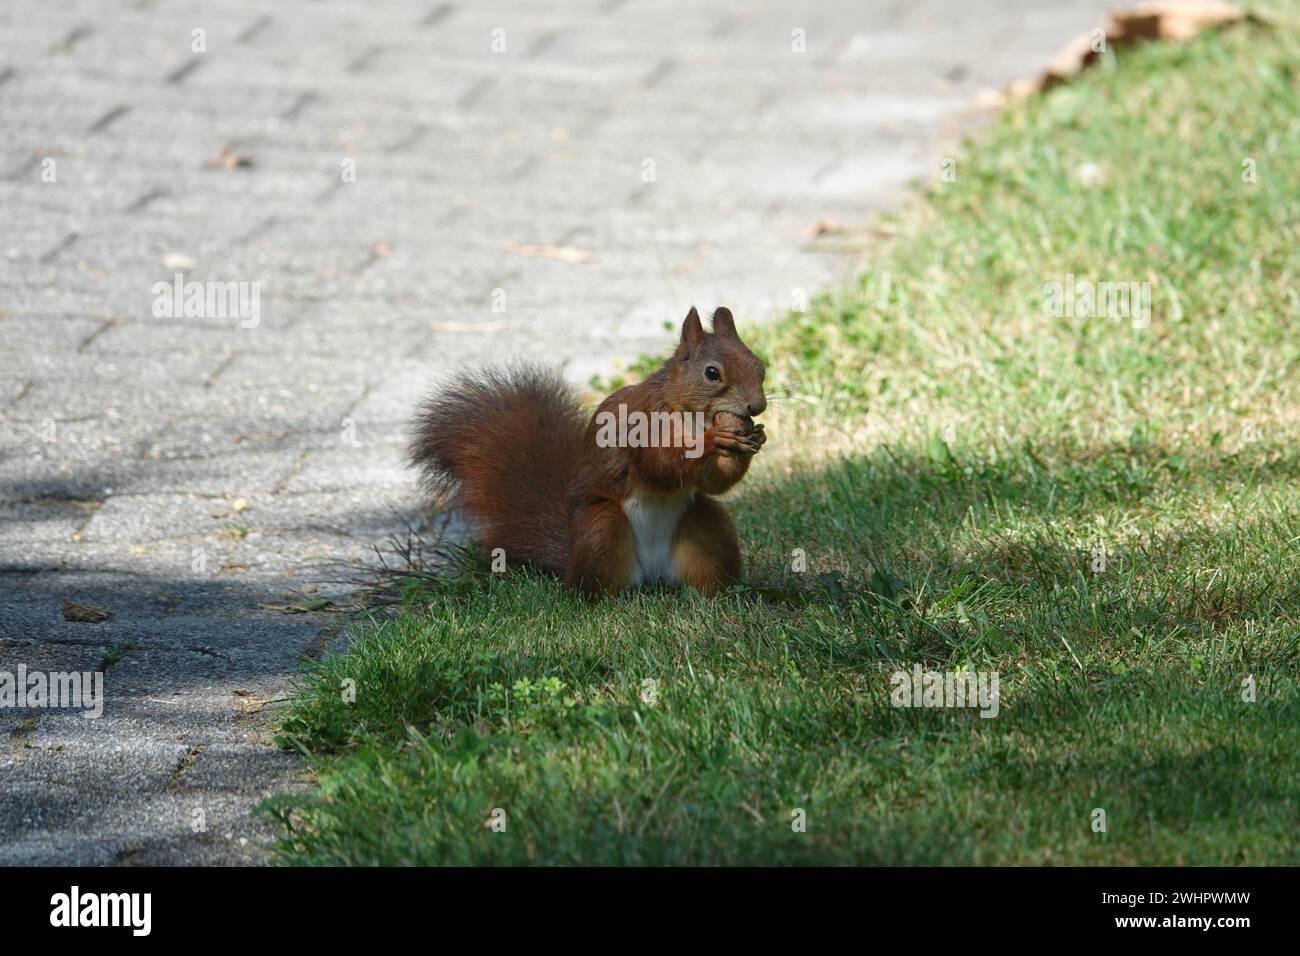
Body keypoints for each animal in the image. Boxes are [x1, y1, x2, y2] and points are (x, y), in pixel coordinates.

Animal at [410, 306, 768, 597]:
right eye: (712, 373)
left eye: (760, 367)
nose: (757, 406)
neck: (693, 415)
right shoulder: (643, 422)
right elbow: (657, 466)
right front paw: (714, 438)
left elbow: (711, 483)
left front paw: (752, 440)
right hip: (602, 529)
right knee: (589, 591)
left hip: (706, 527)